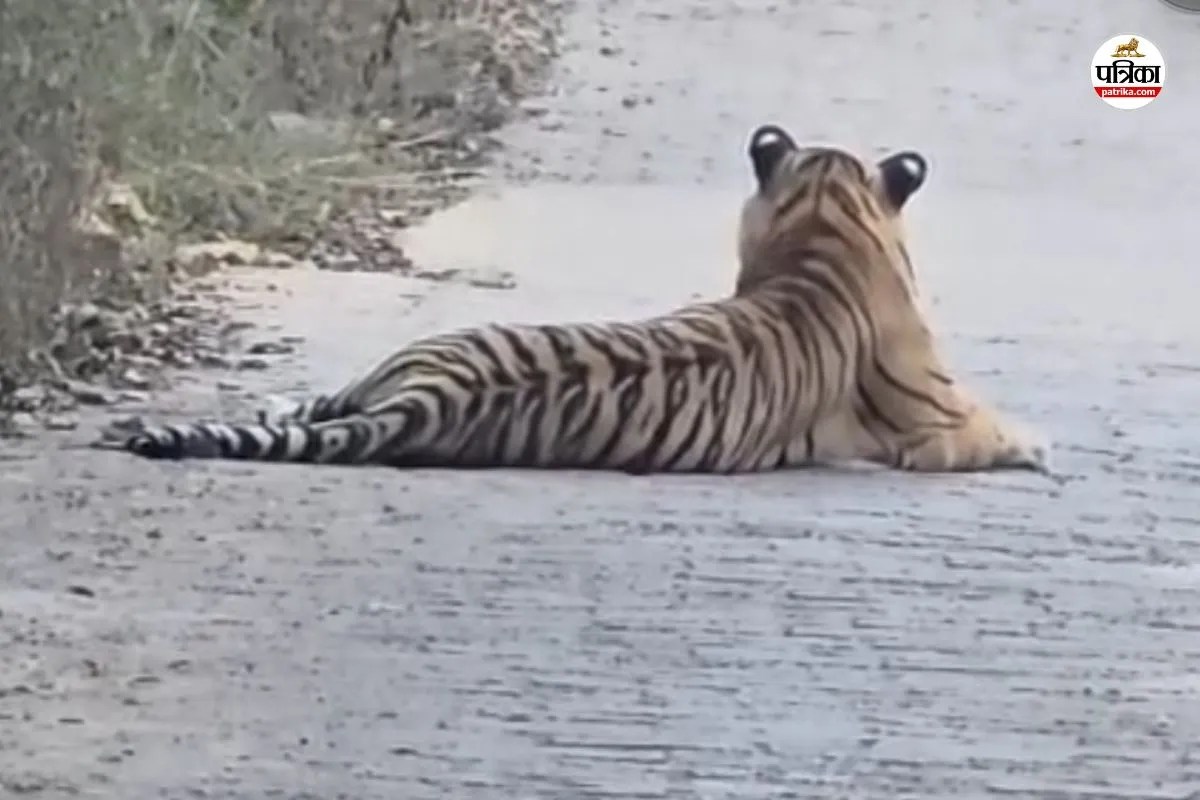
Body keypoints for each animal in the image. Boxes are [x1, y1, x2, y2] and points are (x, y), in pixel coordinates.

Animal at [120, 123, 1050, 475]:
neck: (819, 237)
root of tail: (429, 398)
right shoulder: (939, 419)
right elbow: (1003, 428)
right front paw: (1043, 448)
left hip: (393, 365)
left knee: (311, 406)